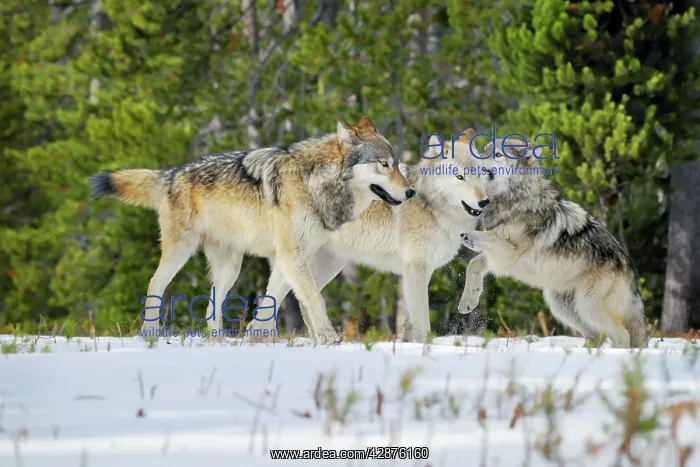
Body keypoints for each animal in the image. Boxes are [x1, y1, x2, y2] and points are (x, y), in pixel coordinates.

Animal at [88, 117, 415, 344]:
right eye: (384, 164)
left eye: (398, 164)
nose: (411, 192)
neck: (313, 184)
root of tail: (172, 173)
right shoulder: (291, 255)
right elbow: (314, 297)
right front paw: (328, 337)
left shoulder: (288, 258)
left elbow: (272, 301)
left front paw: (258, 339)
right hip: (180, 252)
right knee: (154, 285)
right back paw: (150, 334)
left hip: (230, 268)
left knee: (210, 305)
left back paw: (218, 341)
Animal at [245, 129, 492, 343]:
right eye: (459, 177)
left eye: (479, 174)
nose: (484, 202)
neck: (431, 207)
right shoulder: (416, 269)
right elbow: (422, 321)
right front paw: (424, 347)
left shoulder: (418, 272)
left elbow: (410, 323)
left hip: (326, 266)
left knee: (301, 303)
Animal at [458, 137, 647, 348]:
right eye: (484, 151)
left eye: (497, 154)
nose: (472, 161)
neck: (515, 200)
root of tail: (629, 266)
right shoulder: (497, 258)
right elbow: (473, 265)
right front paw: (468, 301)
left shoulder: (509, 252)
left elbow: (490, 237)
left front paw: (469, 235)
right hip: (562, 307)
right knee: (596, 336)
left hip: (588, 305)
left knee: (622, 336)